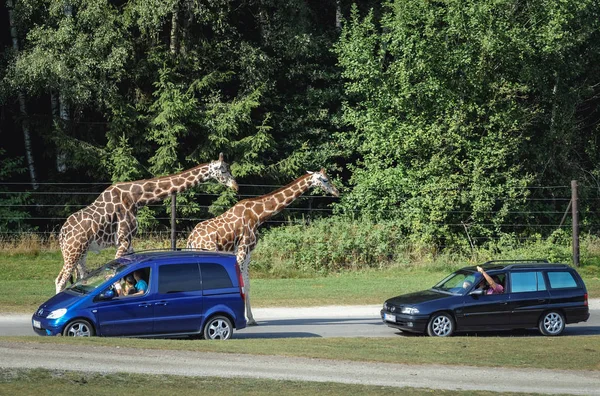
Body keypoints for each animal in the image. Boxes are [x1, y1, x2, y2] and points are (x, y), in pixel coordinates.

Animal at [55, 155, 239, 294]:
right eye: (223, 170)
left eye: (229, 168)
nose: (236, 186)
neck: (136, 198)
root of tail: (61, 235)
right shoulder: (123, 239)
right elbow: (114, 275)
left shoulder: (129, 241)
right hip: (73, 252)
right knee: (60, 280)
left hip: (82, 253)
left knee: (78, 277)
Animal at [185, 167, 340, 324]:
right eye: (325, 180)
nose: (337, 191)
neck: (258, 216)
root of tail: (191, 238)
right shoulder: (242, 249)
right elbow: (240, 284)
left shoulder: (248, 253)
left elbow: (247, 284)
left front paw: (251, 319)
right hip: (208, 249)